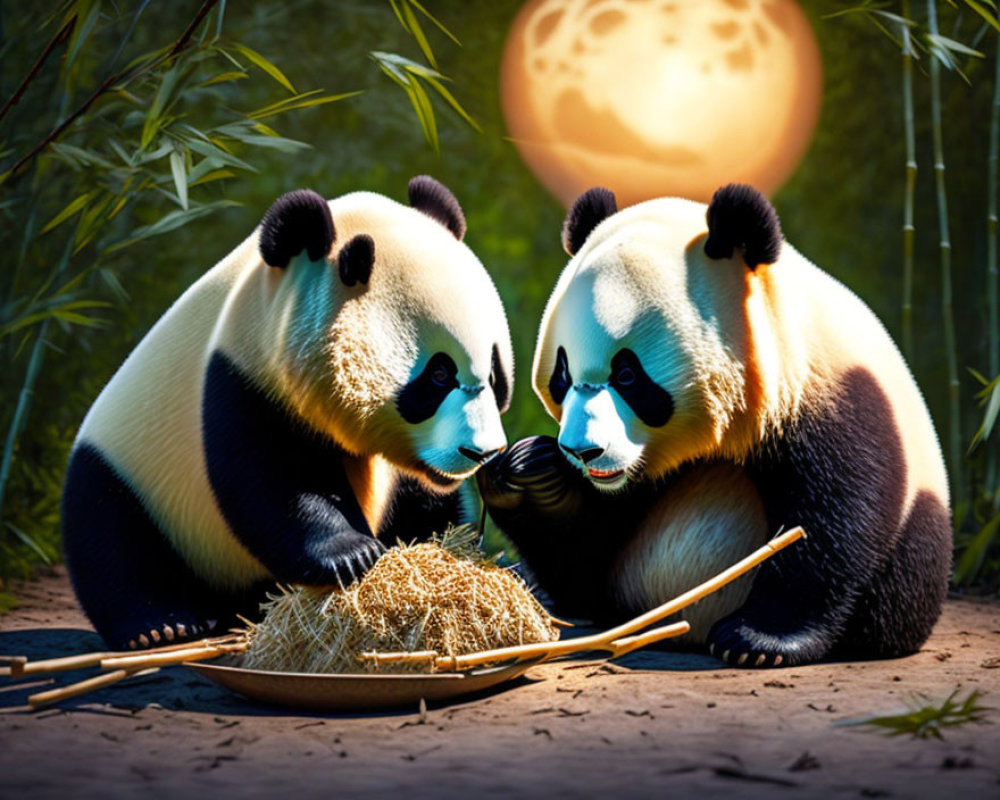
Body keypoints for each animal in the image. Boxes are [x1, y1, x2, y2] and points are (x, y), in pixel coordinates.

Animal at [60, 175, 516, 648]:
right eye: (439, 375)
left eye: (495, 373)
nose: (482, 452)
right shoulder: (243, 376)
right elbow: (273, 478)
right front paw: (350, 554)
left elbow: (423, 500)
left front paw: (447, 549)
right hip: (132, 470)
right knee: (111, 536)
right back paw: (160, 625)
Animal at [482, 184, 952, 664]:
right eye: (562, 375)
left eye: (627, 375)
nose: (582, 450)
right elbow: (585, 554)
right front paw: (532, 473)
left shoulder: (833, 397)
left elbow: (830, 524)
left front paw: (758, 641)